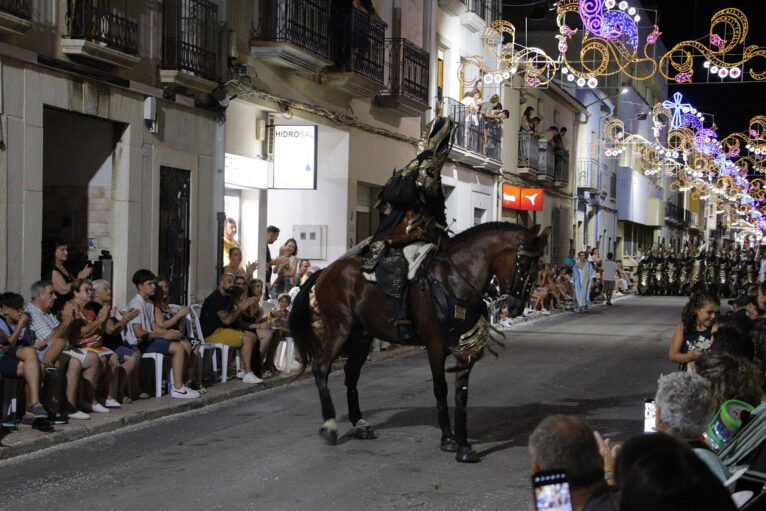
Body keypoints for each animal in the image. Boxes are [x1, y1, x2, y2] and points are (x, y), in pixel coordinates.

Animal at [290, 223, 552, 464]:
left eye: (537, 264)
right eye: (523, 262)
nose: (516, 306)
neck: (455, 279)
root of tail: (326, 270)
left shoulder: (464, 348)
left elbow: (462, 392)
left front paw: (464, 446)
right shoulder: (435, 346)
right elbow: (441, 389)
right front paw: (448, 438)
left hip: (361, 337)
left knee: (351, 375)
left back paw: (360, 425)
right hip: (339, 329)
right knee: (321, 367)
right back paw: (330, 426)